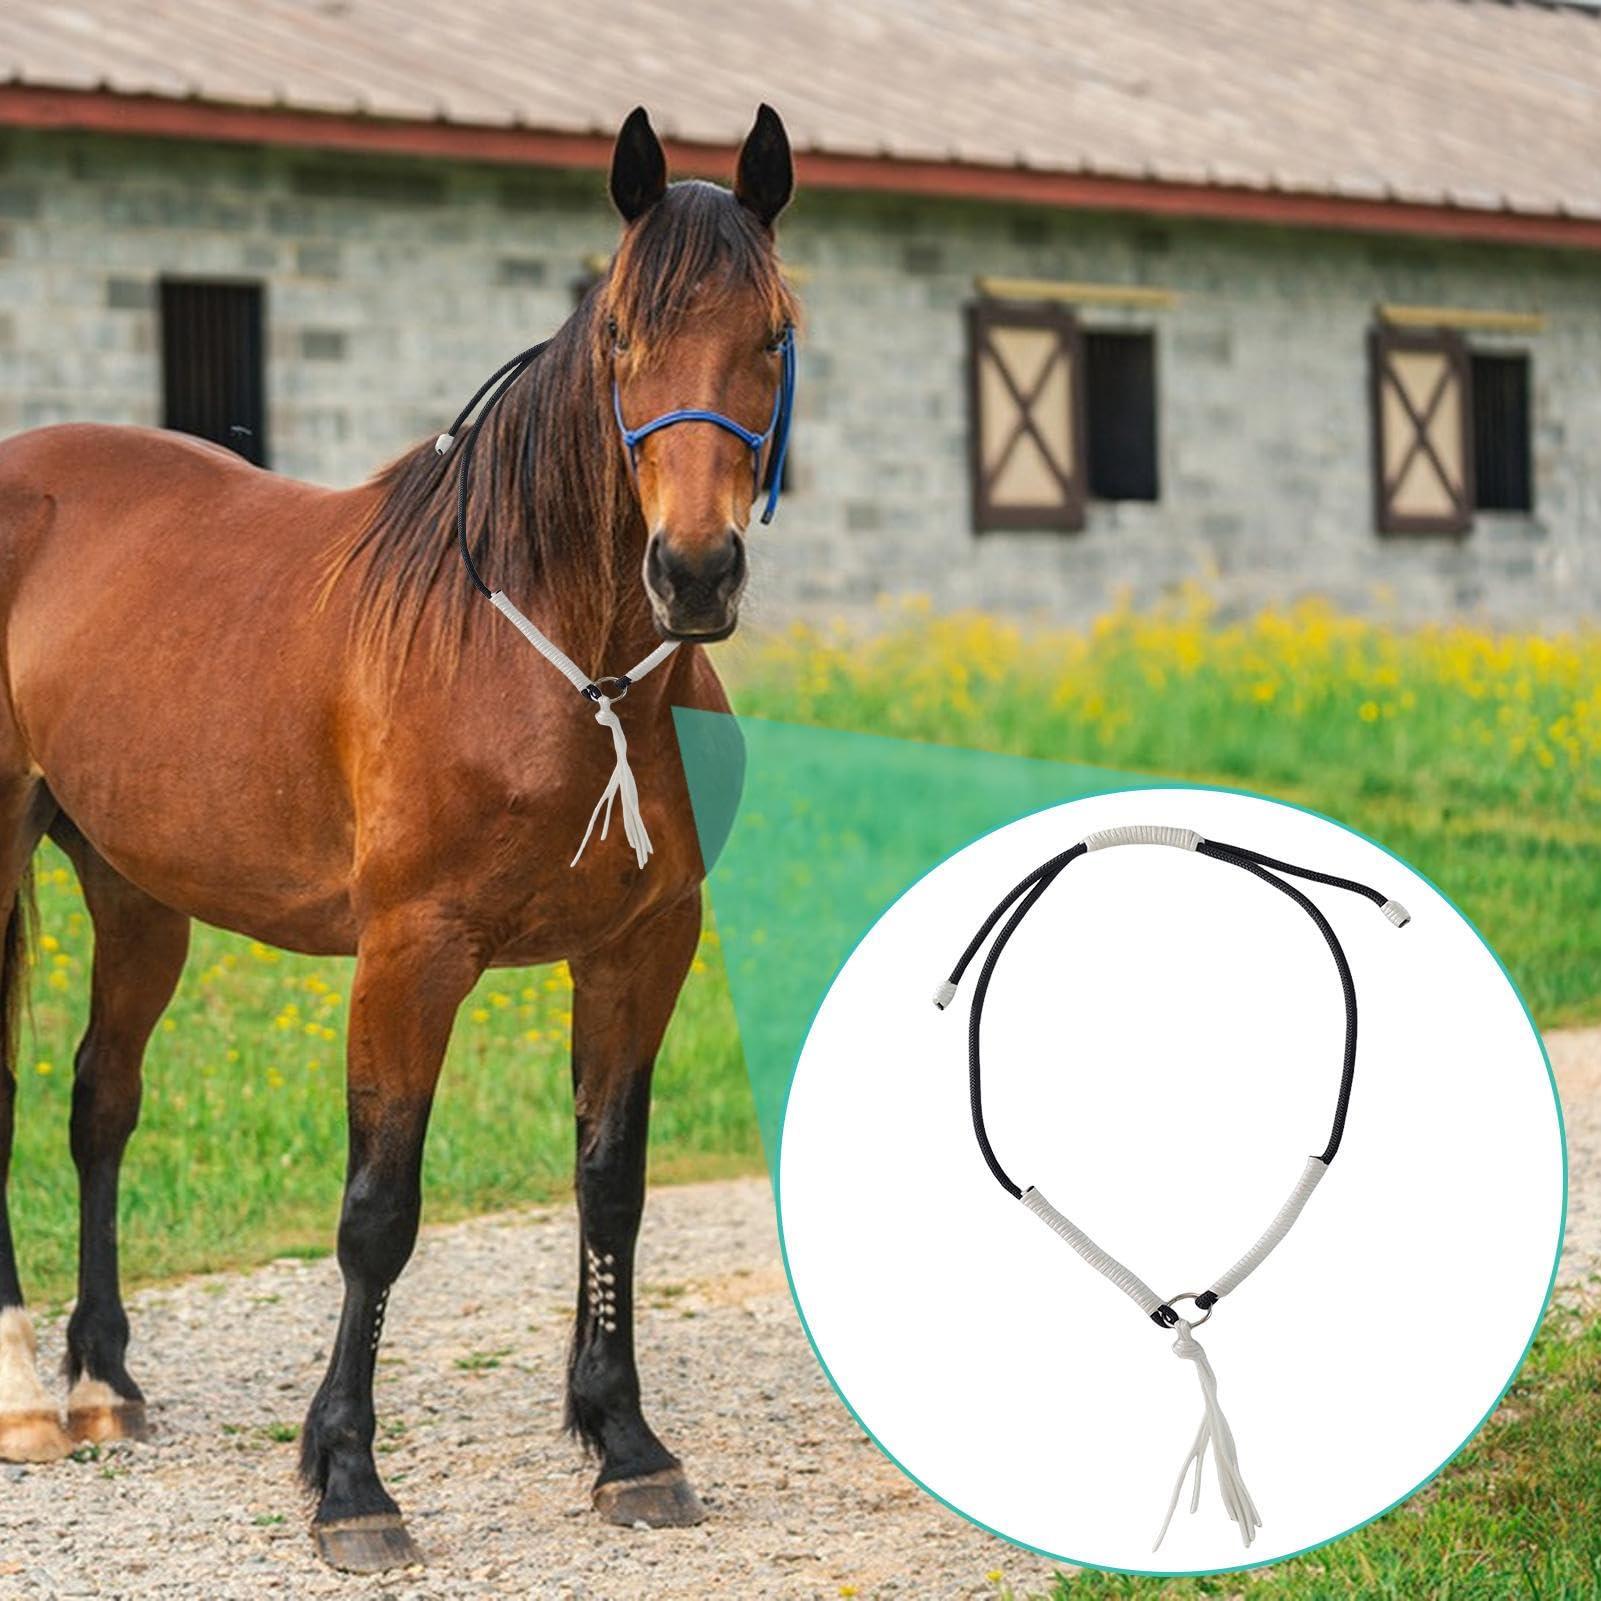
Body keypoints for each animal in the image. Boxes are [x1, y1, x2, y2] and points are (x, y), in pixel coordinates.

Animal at [0, 102, 795, 1572]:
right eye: (619, 334)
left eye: (773, 332)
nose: (694, 571)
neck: (561, 668)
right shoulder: (409, 957)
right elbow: (378, 1214)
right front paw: (349, 1481)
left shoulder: (642, 949)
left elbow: (611, 1185)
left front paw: (625, 1443)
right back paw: (27, 1396)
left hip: (140, 892)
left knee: (100, 1099)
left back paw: (103, 1379)